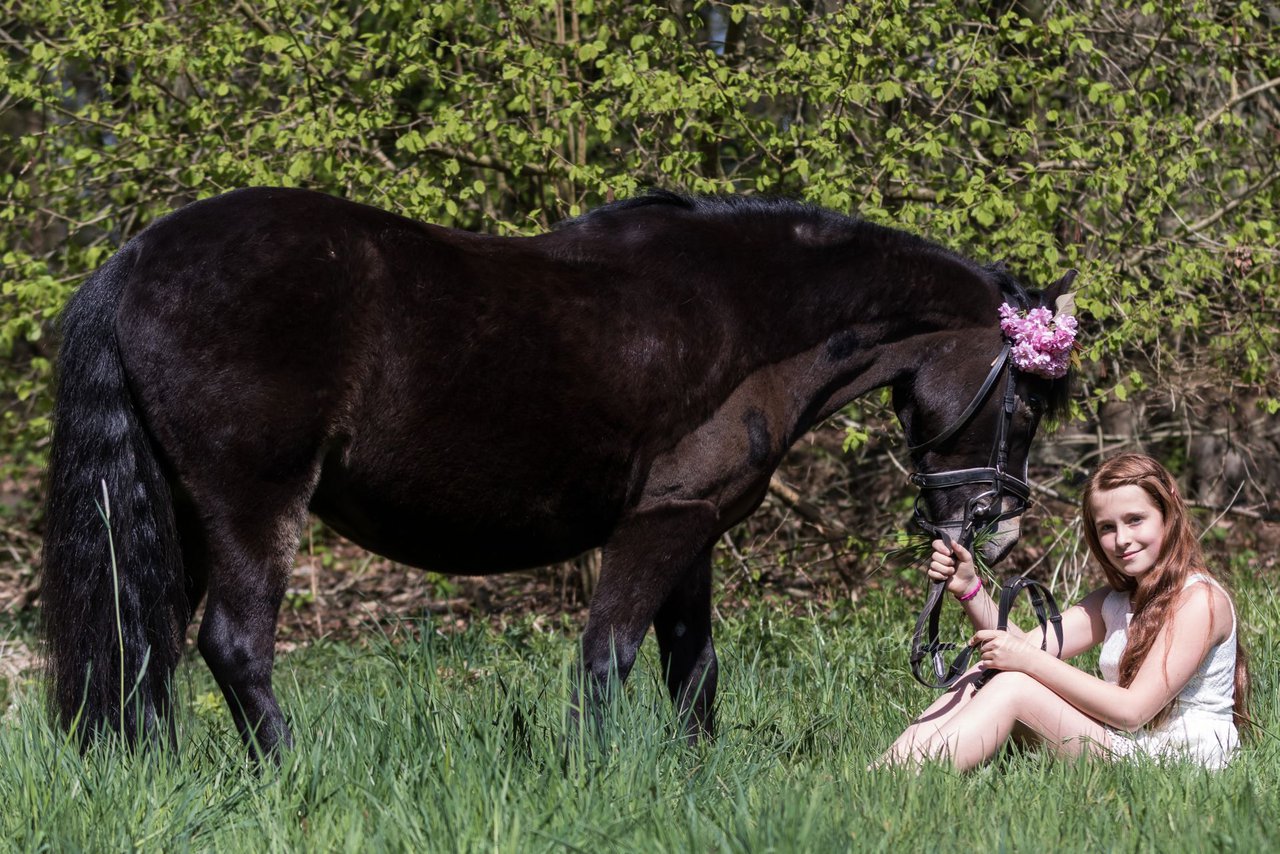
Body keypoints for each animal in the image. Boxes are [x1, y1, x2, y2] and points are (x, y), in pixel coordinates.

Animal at [40, 188, 1070, 752]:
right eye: (1023, 404)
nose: (996, 527)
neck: (746, 315)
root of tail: (135, 257)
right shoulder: (661, 524)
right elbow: (607, 656)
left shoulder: (692, 528)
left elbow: (692, 668)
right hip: (253, 506)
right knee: (233, 646)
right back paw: (292, 771)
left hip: (178, 513)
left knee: (142, 645)